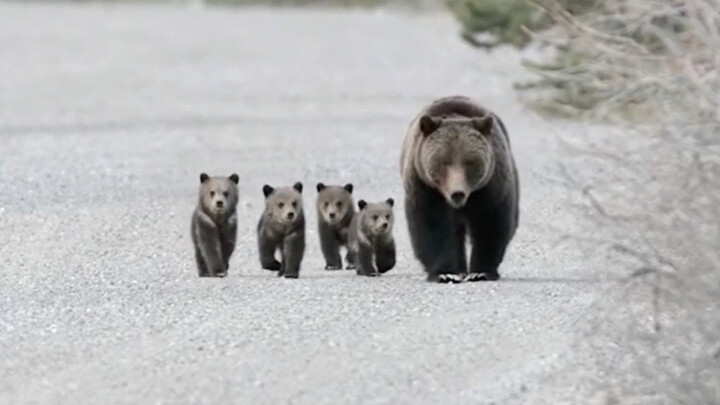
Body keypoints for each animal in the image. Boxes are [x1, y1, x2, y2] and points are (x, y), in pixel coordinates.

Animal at [400, 96, 519, 283]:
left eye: (469, 162)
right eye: (443, 162)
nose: (457, 193)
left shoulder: (490, 188)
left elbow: (490, 225)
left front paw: (481, 272)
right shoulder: (426, 188)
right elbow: (433, 227)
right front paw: (445, 273)